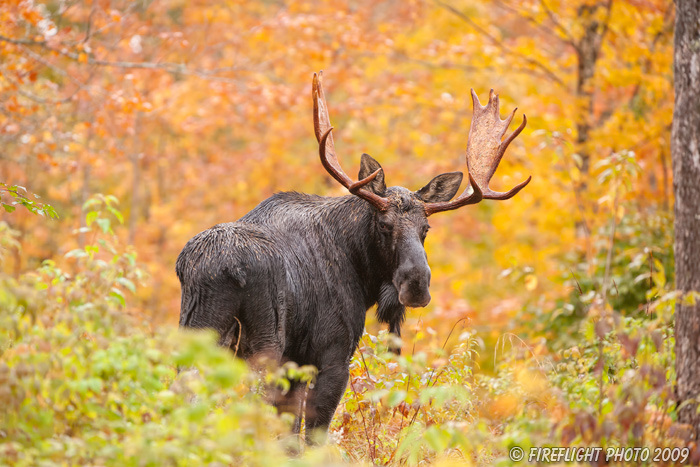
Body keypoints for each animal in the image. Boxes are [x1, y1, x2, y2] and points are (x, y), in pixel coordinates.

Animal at [176, 71, 532, 440]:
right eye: (384, 225)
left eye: (426, 228)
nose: (417, 285)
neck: (363, 277)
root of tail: (225, 266)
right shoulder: (332, 353)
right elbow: (311, 435)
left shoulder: (298, 361)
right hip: (265, 340)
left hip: (198, 327)